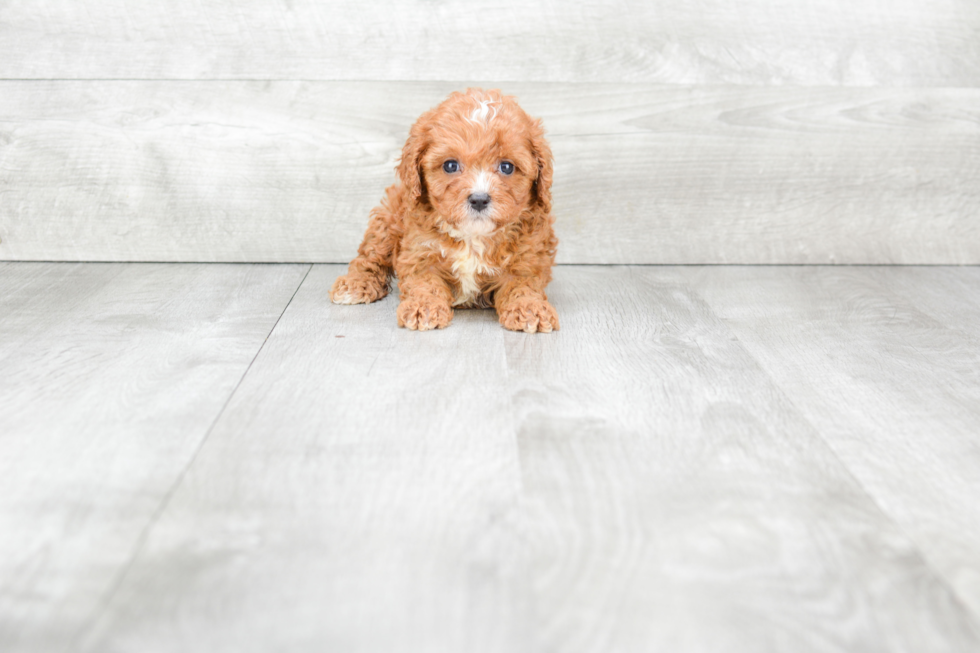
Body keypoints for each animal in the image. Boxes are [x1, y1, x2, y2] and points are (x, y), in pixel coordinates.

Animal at [330, 87, 560, 334]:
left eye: (506, 167)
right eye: (450, 165)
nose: (479, 199)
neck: (473, 236)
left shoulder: (526, 258)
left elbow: (523, 285)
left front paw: (530, 309)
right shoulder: (420, 252)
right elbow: (425, 283)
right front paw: (423, 308)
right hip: (387, 220)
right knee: (370, 257)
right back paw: (355, 284)